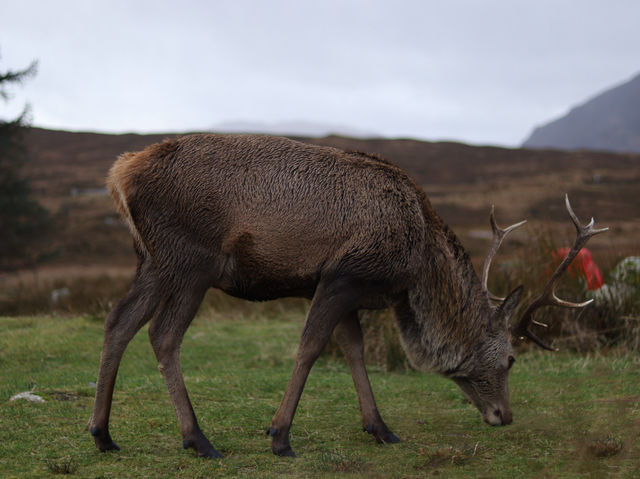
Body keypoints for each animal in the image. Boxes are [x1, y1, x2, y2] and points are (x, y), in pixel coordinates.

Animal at [87, 134, 608, 458]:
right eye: (509, 360)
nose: (504, 416)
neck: (416, 268)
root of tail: (119, 175)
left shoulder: (344, 288)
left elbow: (354, 350)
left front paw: (380, 428)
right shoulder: (343, 276)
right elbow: (311, 347)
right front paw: (280, 436)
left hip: (151, 261)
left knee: (118, 321)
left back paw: (103, 433)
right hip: (190, 260)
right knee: (162, 335)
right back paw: (198, 438)